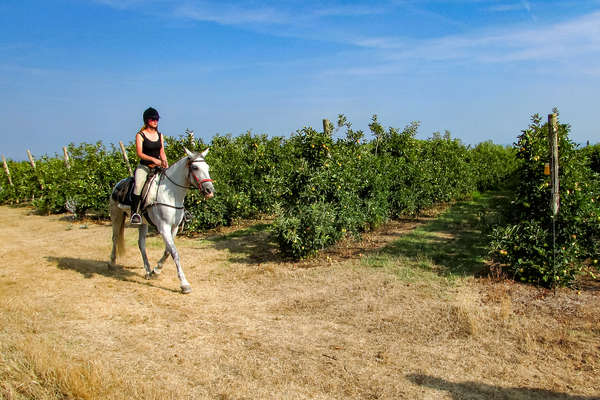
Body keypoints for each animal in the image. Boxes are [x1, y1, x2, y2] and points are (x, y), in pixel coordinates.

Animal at [109, 147, 214, 294]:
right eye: (195, 167)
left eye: (207, 167)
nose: (210, 190)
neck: (171, 194)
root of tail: (118, 184)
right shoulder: (163, 227)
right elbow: (174, 252)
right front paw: (184, 284)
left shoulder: (174, 227)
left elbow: (168, 251)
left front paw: (156, 270)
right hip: (116, 216)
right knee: (115, 237)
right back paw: (112, 263)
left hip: (143, 223)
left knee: (141, 244)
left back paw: (148, 271)